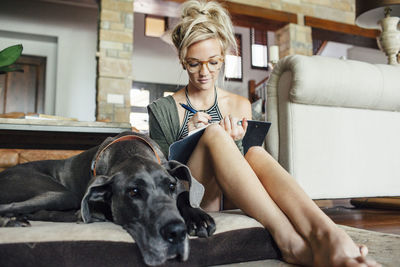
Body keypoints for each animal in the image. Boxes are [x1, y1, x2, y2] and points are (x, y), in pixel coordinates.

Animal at [0, 131, 216, 266]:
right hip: (63, 194)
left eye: (171, 186)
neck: (130, 150)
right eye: (133, 192)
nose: (177, 232)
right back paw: (11, 221)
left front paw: (199, 218)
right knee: (12, 206)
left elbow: (184, 195)